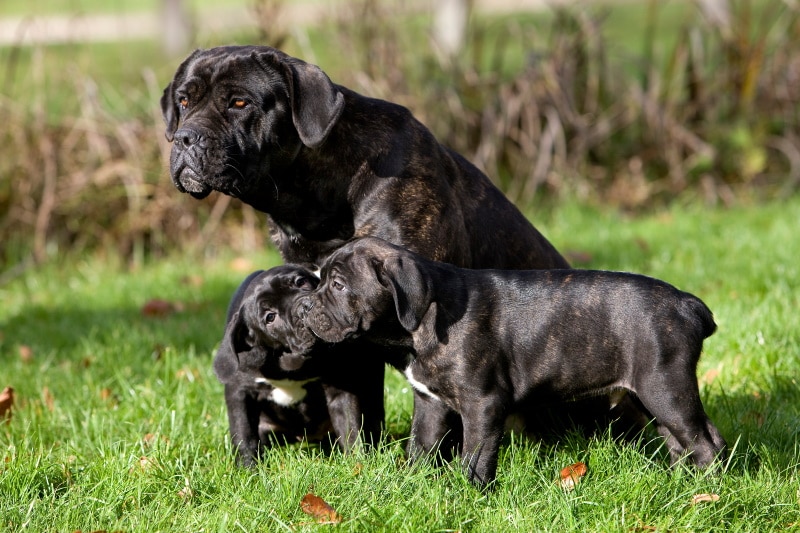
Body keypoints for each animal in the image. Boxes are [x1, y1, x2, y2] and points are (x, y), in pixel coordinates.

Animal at [212, 264, 376, 464]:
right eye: (270, 317)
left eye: (300, 282)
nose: (304, 307)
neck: (293, 361)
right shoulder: (239, 392)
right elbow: (244, 433)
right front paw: (248, 467)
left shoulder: (340, 388)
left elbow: (350, 427)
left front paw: (357, 463)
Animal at [298, 239, 724, 488]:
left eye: (337, 285)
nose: (304, 306)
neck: (424, 316)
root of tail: (687, 304)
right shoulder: (431, 403)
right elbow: (421, 446)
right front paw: (410, 485)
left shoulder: (483, 404)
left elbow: (475, 455)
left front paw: (470, 494)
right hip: (651, 396)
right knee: (681, 441)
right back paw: (682, 487)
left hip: (664, 386)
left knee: (703, 442)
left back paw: (705, 495)